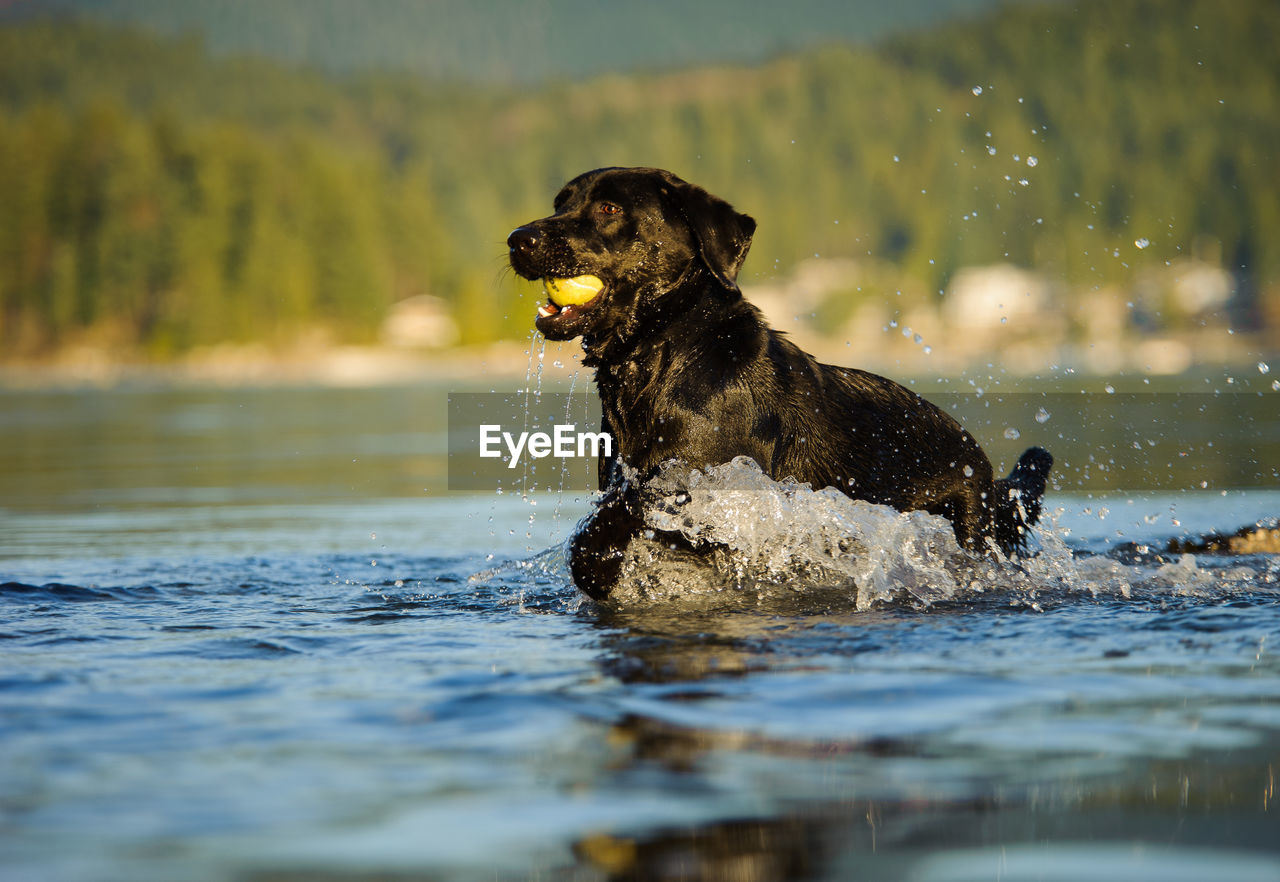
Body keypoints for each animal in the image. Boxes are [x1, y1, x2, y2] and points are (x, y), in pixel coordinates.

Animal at [506, 168, 1049, 599]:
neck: (664, 354)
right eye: (560, 204)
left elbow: (621, 518)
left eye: (609, 208)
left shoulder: (711, 487)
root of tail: (984, 469)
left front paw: (596, 563)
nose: (517, 238)